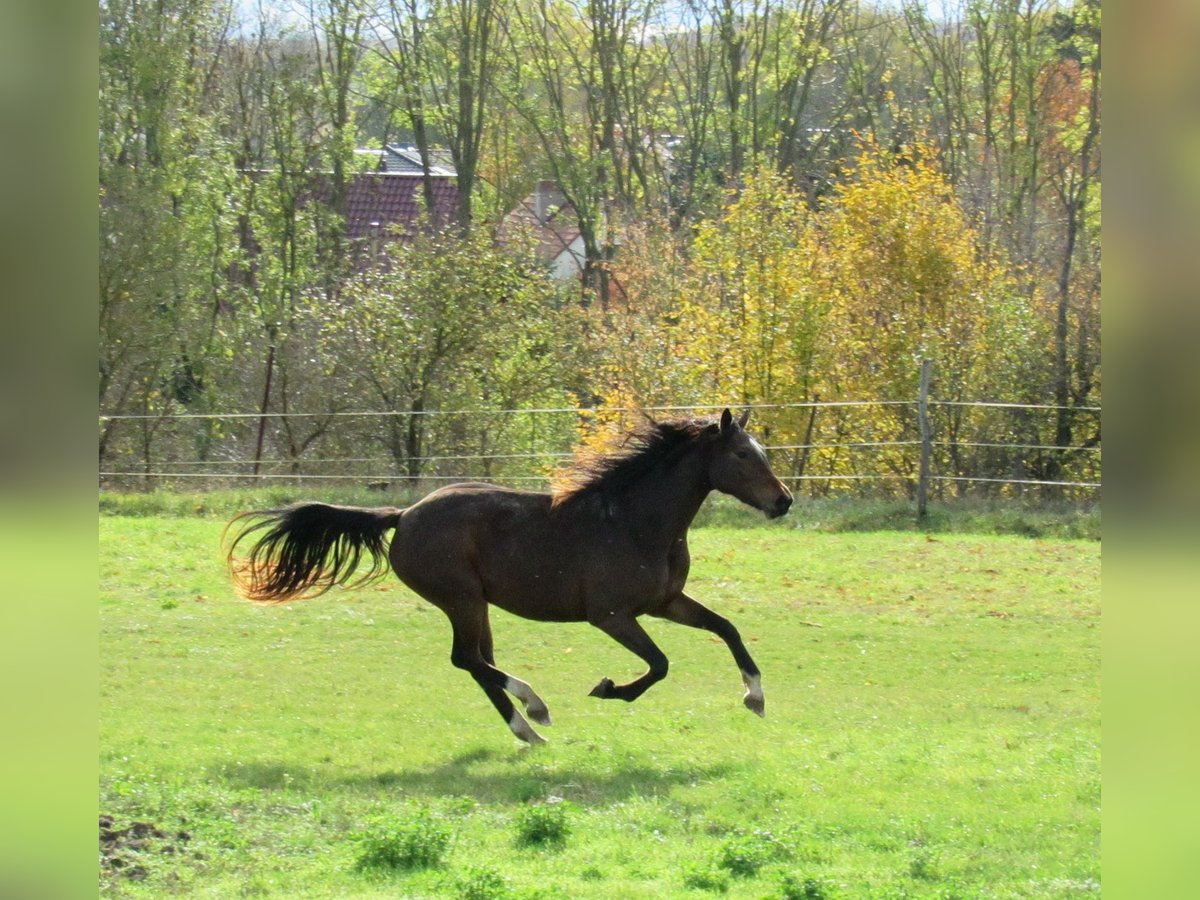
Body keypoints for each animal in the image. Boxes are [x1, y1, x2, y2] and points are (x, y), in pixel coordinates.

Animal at [224, 408, 792, 744]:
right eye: (742, 454)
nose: (783, 501)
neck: (635, 522)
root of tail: (404, 516)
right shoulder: (611, 615)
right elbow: (660, 665)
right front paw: (608, 689)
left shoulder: (665, 602)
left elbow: (727, 629)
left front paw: (755, 696)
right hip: (462, 599)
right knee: (467, 659)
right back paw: (534, 707)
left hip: (476, 605)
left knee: (478, 661)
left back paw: (528, 728)